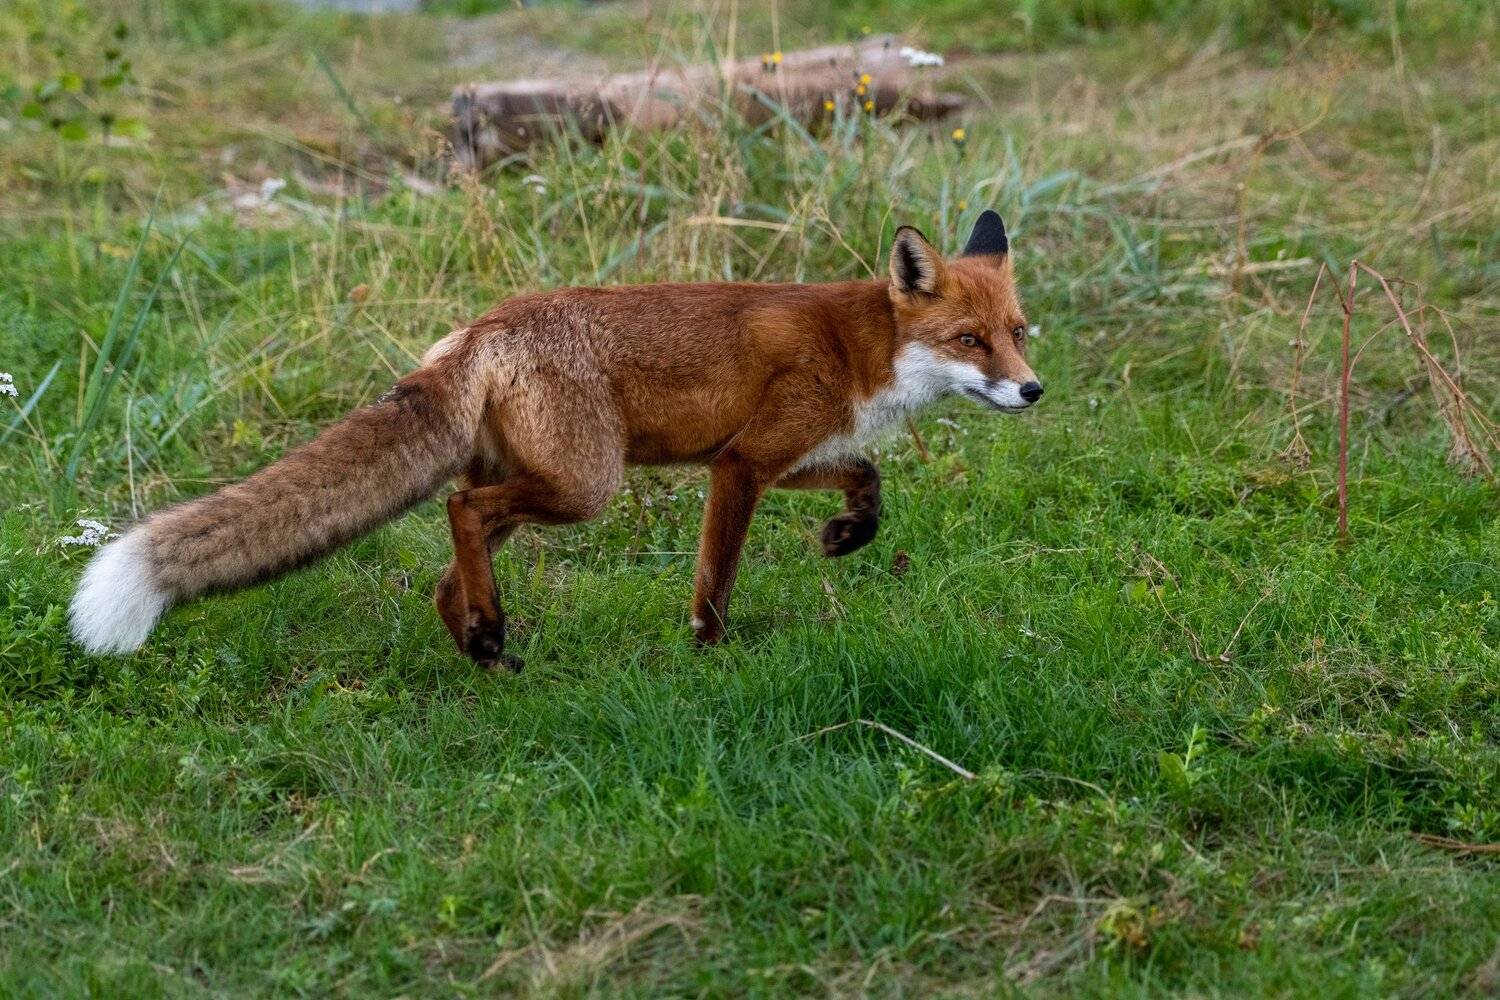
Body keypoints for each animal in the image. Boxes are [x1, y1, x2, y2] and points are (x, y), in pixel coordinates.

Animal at [69, 210, 1041, 668]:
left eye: (1019, 332)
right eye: (970, 341)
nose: (1032, 389)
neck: (858, 347)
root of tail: (481, 327)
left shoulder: (766, 454)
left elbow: (867, 476)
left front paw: (848, 534)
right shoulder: (740, 463)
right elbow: (715, 579)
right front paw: (711, 653)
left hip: (546, 483)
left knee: (447, 563)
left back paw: (480, 646)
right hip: (586, 487)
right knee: (461, 511)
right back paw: (490, 631)